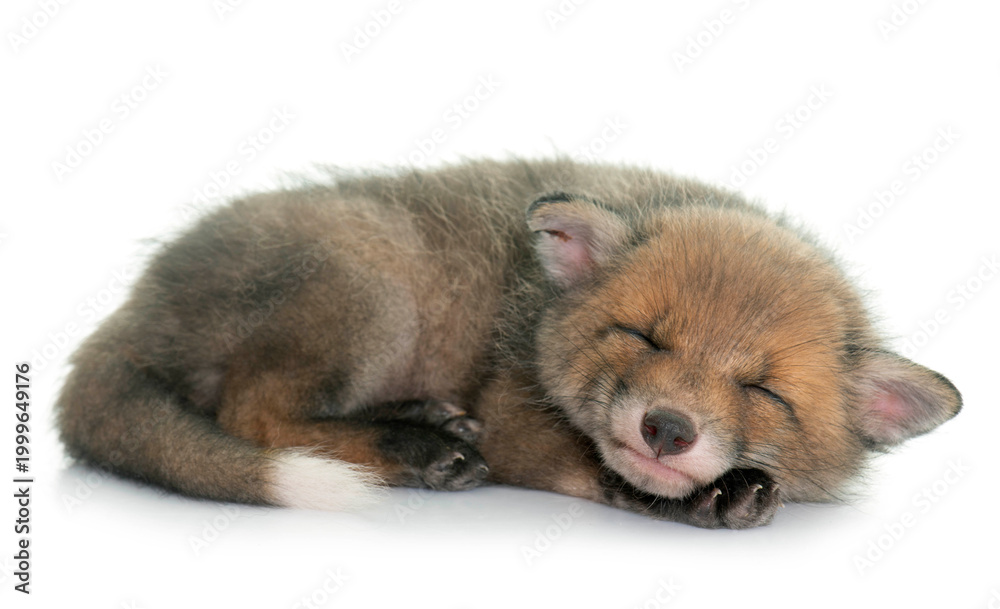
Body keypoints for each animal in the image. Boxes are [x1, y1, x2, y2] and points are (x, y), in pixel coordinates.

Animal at [56, 158, 962, 529]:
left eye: (763, 389)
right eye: (642, 335)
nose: (668, 429)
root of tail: (134, 300)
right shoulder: (511, 405)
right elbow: (595, 464)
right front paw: (698, 498)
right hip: (371, 290)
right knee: (255, 415)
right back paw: (418, 445)